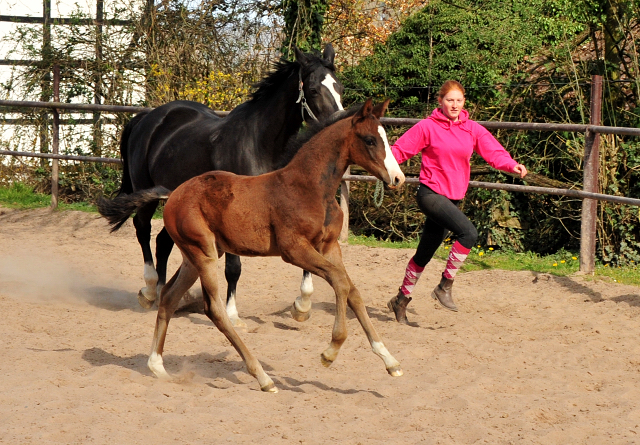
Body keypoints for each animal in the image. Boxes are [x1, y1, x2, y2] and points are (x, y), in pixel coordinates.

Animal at [106, 99, 404, 390]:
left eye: (384, 137)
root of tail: (172, 193)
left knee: (169, 297)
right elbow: (340, 283)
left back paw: (157, 366)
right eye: (370, 140)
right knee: (213, 308)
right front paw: (330, 351)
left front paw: (390, 361)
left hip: (195, 256)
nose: (398, 178)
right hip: (204, 254)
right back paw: (262, 376)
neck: (310, 188)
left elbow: (352, 290)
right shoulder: (293, 250)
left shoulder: (330, 247)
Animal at [109, 43, 344, 324]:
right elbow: (234, 267)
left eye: (339, 87)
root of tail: (146, 118)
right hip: (147, 193)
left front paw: (302, 306)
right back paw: (149, 291)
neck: (259, 143)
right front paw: (232, 314)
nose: (339, 125)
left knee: (163, 241)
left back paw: (165, 295)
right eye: (314, 89)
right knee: (142, 229)